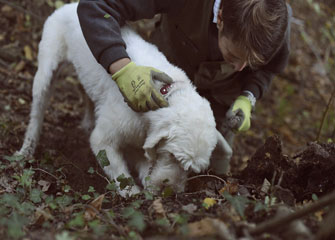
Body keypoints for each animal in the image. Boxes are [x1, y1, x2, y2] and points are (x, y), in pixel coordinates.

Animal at [17, 2, 234, 196]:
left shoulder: (139, 140)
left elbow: (145, 163)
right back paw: (26, 149)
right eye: (172, 155)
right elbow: (117, 169)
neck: (166, 93)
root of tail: (72, 5)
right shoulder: (105, 139)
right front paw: (131, 191)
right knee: (37, 111)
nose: (170, 192)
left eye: (191, 169)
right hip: (46, 70)